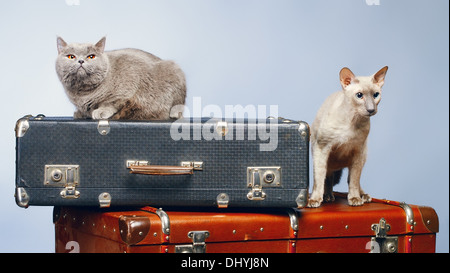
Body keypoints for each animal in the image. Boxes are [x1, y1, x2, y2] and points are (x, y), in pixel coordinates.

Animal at [55, 37, 186, 119]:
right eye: (71, 56)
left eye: (91, 56)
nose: (81, 61)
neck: (83, 94)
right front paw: (80, 113)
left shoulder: (127, 85)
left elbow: (111, 102)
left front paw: (100, 111)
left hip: (175, 71)